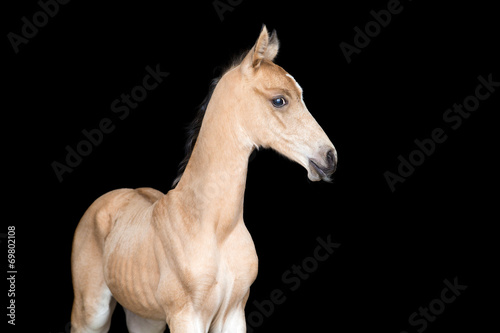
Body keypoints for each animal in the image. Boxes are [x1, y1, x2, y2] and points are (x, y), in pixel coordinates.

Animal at [71, 26, 336, 332]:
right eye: (279, 100)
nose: (330, 157)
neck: (214, 226)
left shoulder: (233, 314)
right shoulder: (186, 316)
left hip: (144, 318)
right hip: (92, 313)